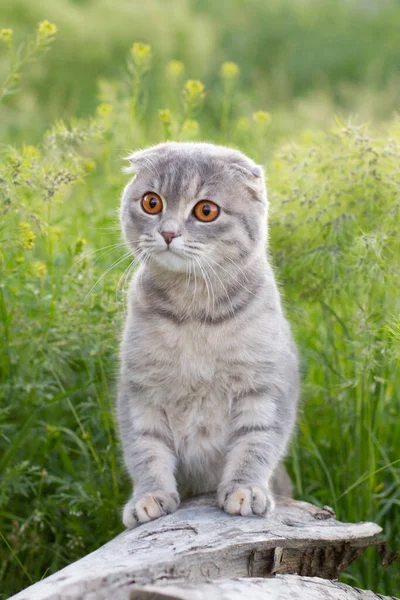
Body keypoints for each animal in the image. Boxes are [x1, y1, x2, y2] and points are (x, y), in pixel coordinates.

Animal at [117, 143, 298, 528]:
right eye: (151, 202)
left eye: (206, 210)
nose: (168, 233)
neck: (194, 314)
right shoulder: (140, 392)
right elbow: (145, 449)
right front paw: (149, 497)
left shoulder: (264, 387)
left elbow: (255, 444)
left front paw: (245, 490)